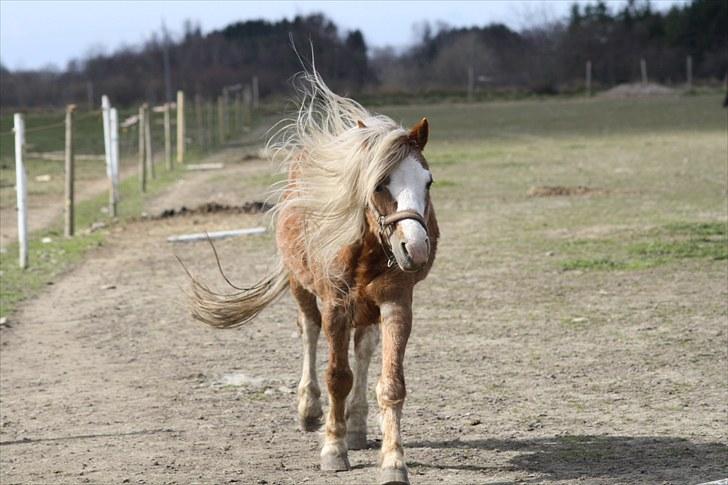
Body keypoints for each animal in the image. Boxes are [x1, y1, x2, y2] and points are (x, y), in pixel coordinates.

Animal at [186, 73, 438, 484]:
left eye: (427, 182)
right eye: (380, 184)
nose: (415, 249)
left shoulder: (396, 303)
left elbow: (391, 385)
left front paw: (393, 461)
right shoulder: (335, 305)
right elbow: (337, 375)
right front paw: (333, 449)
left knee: (363, 350)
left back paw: (357, 426)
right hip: (300, 288)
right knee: (309, 332)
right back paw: (309, 410)